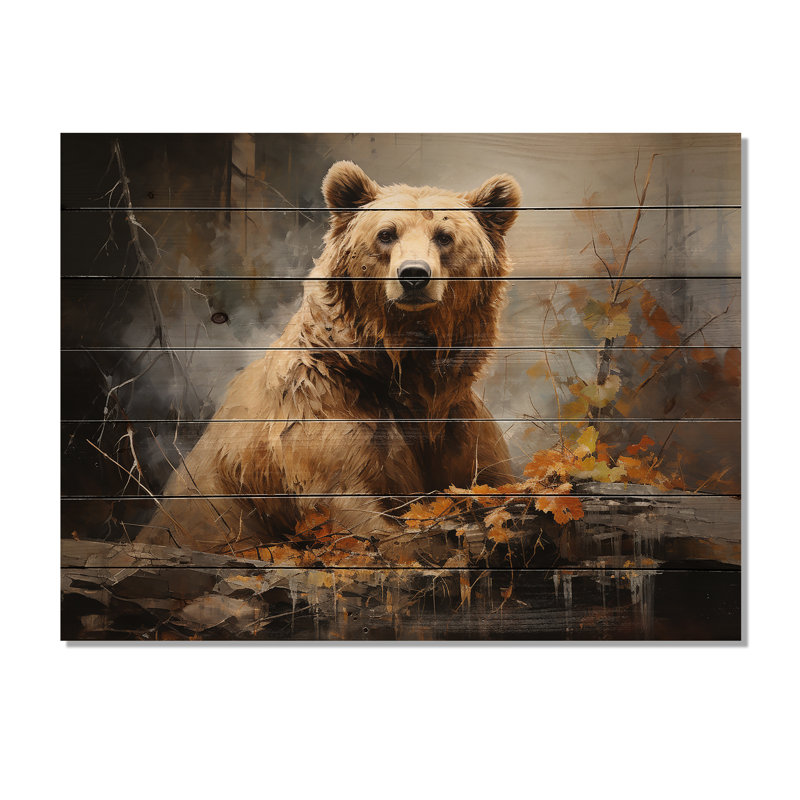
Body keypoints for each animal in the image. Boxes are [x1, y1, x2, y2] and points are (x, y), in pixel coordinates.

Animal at [137, 161, 522, 557]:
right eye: (386, 234)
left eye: (444, 236)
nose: (414, 275)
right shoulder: (324, 411)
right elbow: (350, 503)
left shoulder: (456, 422)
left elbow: (493, 482)